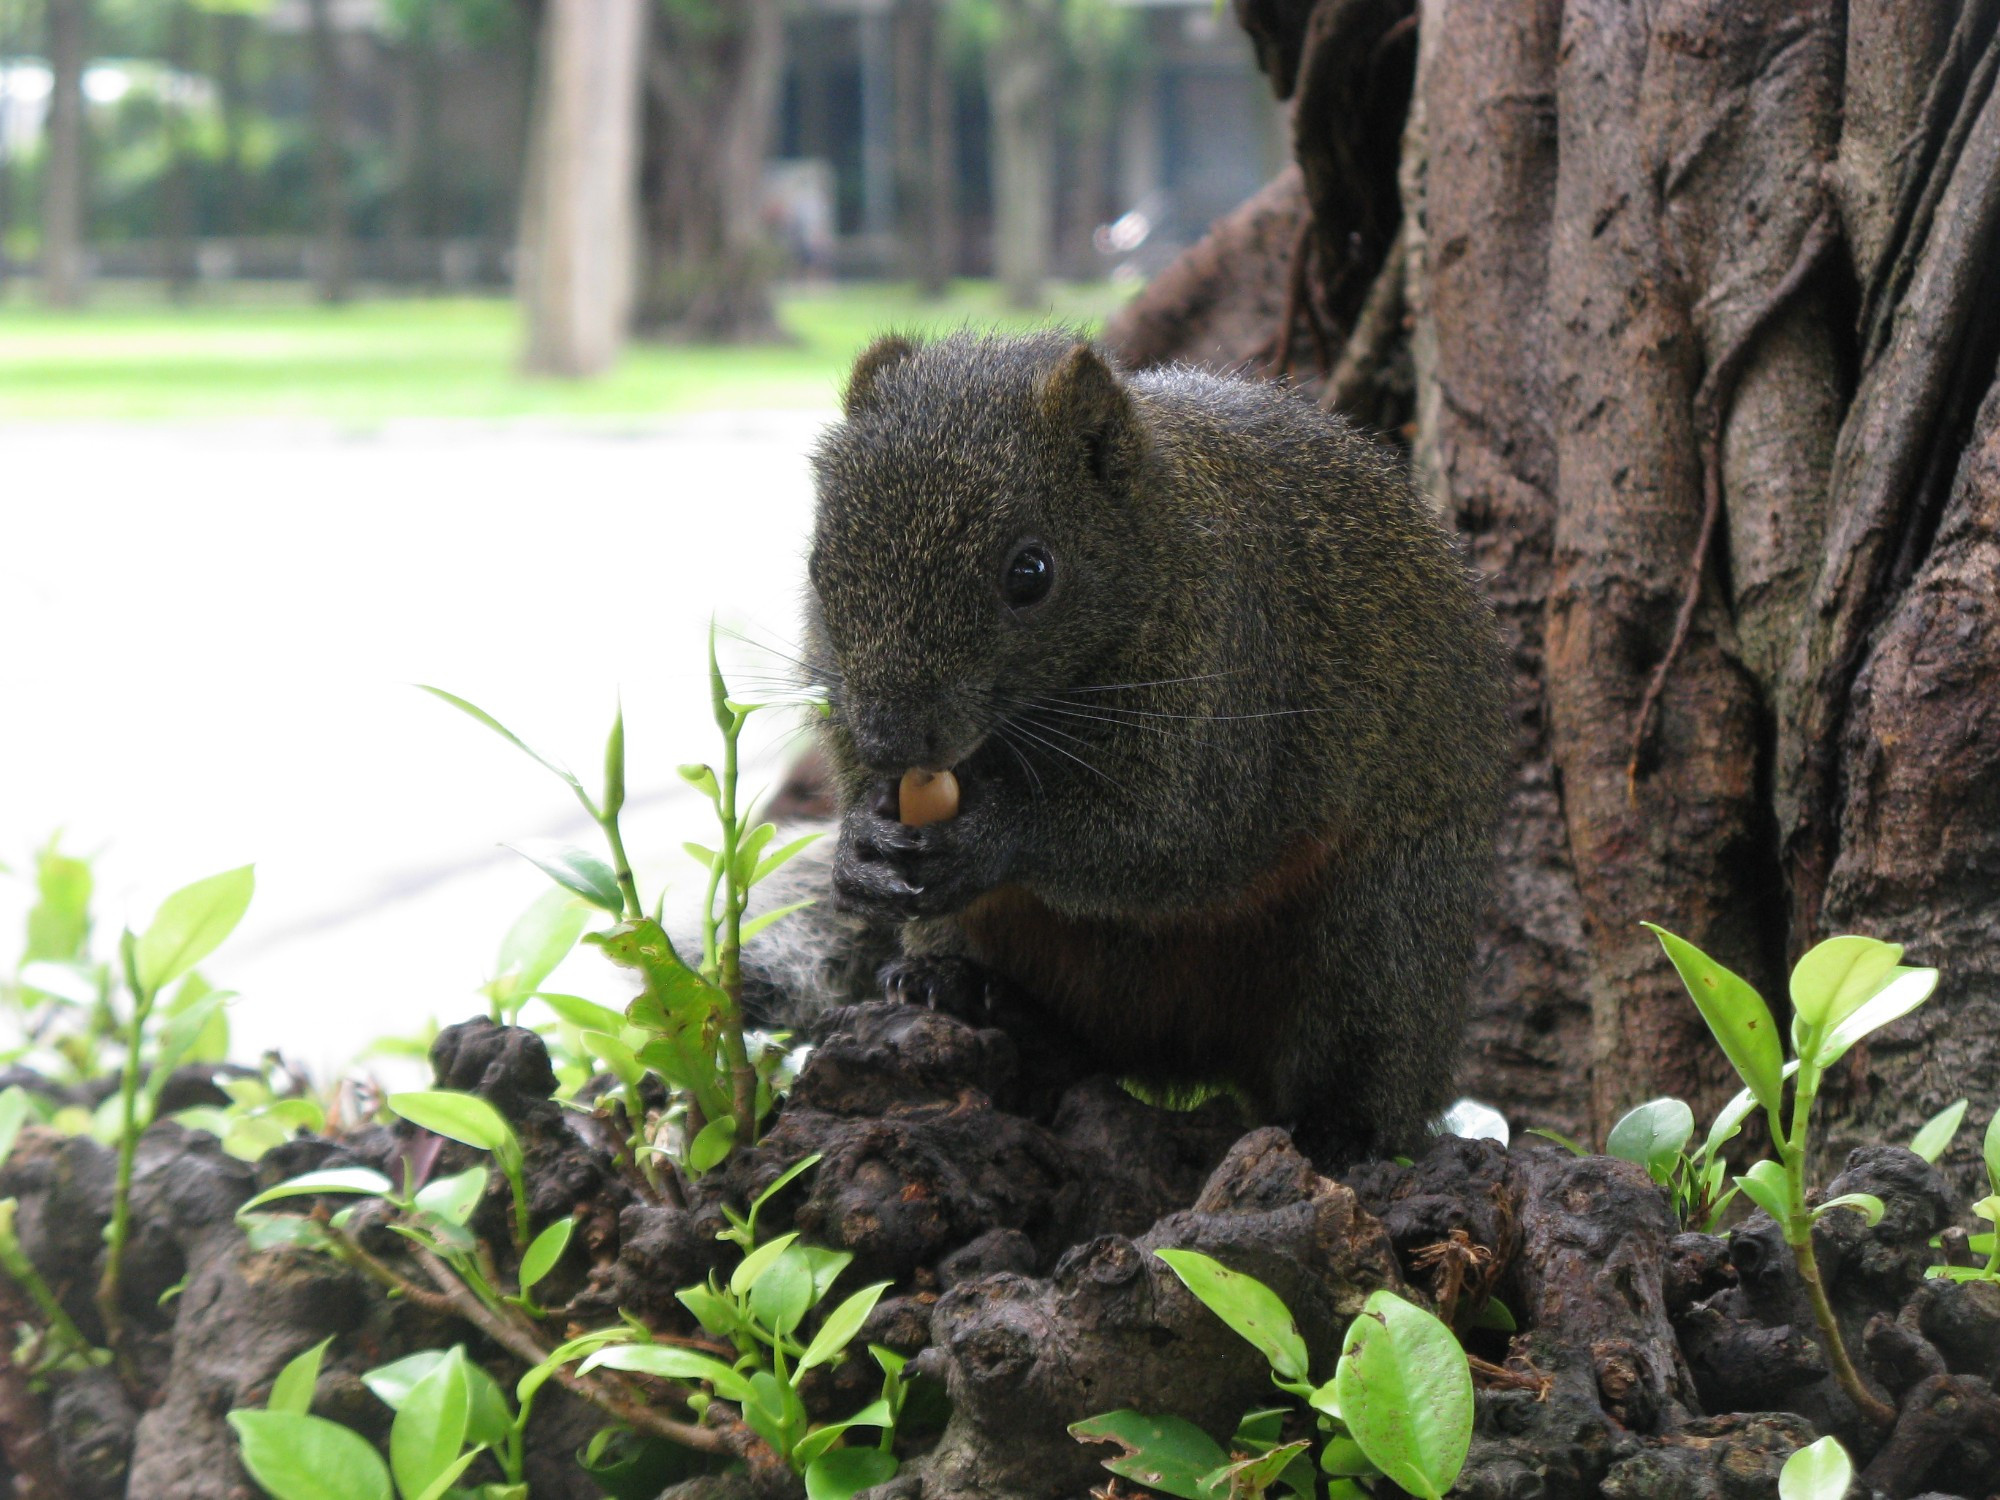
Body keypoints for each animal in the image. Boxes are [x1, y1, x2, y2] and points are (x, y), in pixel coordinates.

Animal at [748, 328, 1504, 1160]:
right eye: (819, 563)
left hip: (1382, 937)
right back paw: (968, 991)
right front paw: (861, 847)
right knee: (1069, 1034)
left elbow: (1167, 837)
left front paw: (993, 833)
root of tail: (1182, 1059)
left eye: (1030, 573)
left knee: (1365, 1054)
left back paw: (1339, 1131)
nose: (890, 739)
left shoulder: (1231, 698)